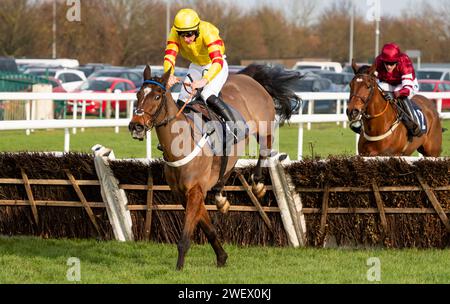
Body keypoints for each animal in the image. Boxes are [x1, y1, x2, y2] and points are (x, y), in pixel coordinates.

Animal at [128, 63, 300, 268]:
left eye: (157, 96)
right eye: (138, 95)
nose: (136, 126)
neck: (182, 144)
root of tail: (247, 77)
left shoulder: (194, 191)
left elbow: (184, 238)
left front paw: (179, 268)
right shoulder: (184, 194)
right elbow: (208, 228)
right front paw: (221, 257)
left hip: (264, 128)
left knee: (265, 150)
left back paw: (257, 184)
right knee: (228, 169)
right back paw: (220, 198)